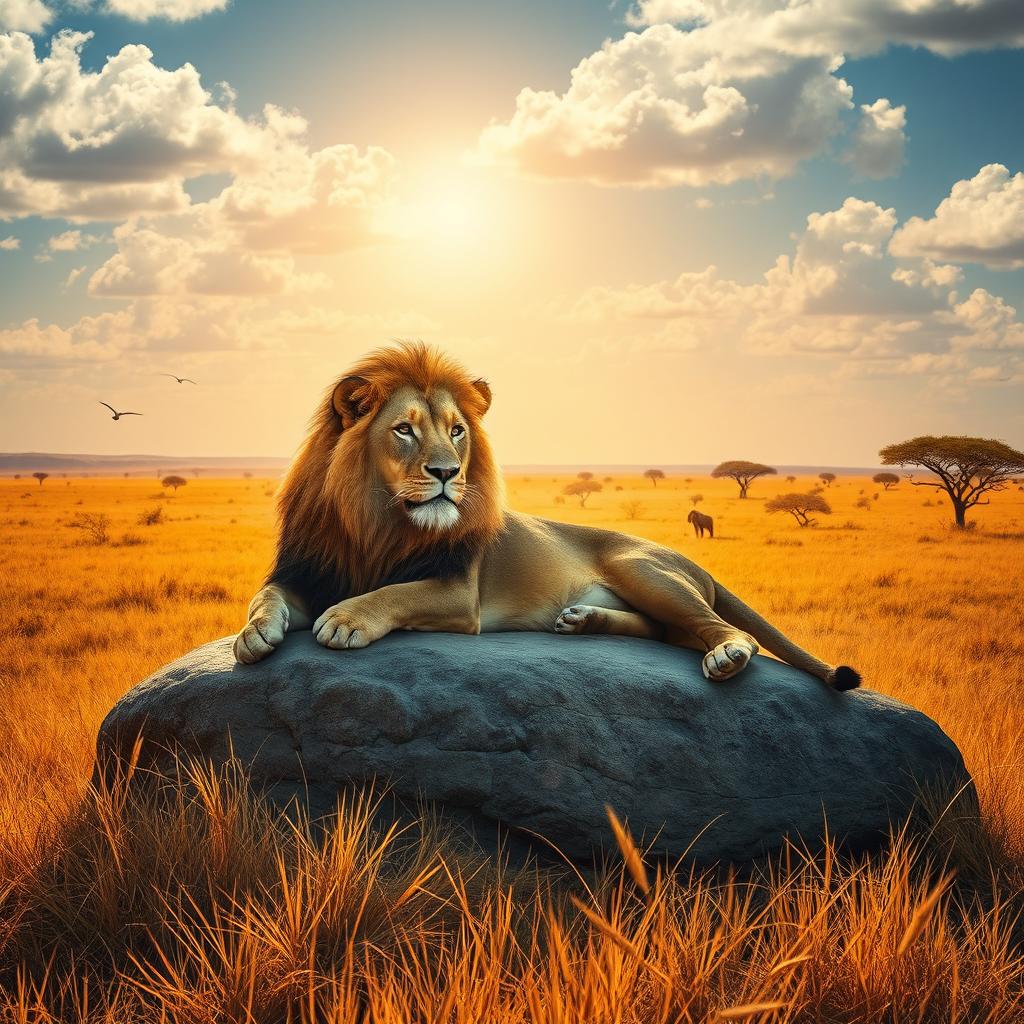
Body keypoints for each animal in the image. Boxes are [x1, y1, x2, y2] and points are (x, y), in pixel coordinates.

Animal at [234, 343, 860, 690]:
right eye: (404, 429)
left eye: (457, 432)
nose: (446, 472)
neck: (375, 522)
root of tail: (690, 561)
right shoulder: (306, 571)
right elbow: (266, 596)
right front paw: (254, 635)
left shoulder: (457, 592)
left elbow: (393, 593)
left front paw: (345, 619)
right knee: (663, 631)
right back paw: (583, 622)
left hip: (643, 569)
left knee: (720, 631)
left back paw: (726, 654)